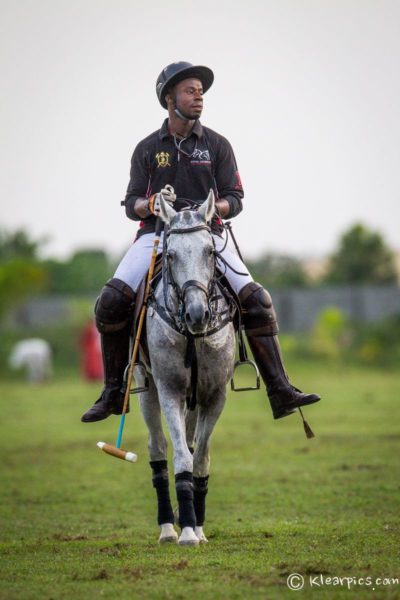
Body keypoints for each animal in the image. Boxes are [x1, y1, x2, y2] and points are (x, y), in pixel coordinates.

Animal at [137, 190, 236, 548]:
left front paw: (198, 526)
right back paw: (168, 526)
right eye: (170, 254)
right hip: (147, 388)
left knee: (192, 446)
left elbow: (201, 459)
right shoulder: (170, 390)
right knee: (157, 449)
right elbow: (181, 457)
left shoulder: (215, 395)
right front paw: (187, 532)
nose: (197, 315)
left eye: (210, 251)